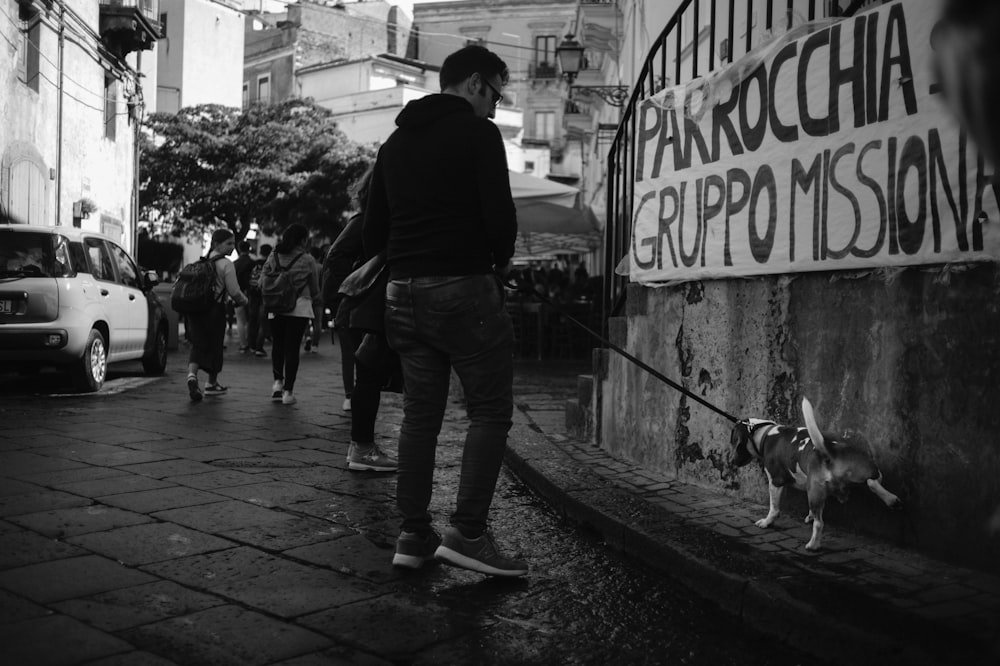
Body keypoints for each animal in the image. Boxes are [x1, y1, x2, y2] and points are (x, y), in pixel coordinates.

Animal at [732, 396, 904, 548]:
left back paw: (813, 545)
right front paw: (809, 515)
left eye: (734, 442)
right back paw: (891, 500)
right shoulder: (808, 484)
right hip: (863, 469)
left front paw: (766, 522)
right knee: (873, 481)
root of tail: (830, 450)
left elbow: (774, 508)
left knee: (819, 524)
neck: (765, 433)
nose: (732, 462)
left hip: (816, 490)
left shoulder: (775, 481)